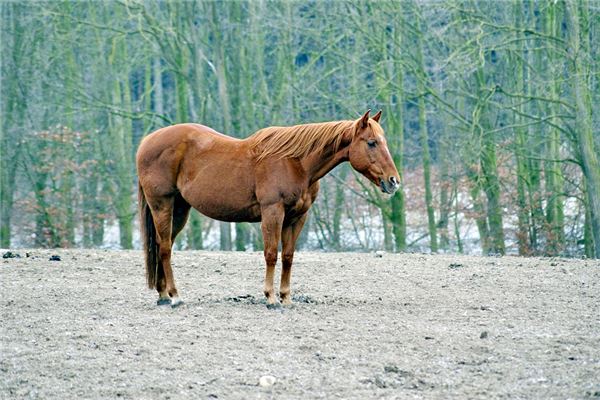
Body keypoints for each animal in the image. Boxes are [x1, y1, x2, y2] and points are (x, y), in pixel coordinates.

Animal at [136, 109, 398, 306]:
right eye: (372, 143)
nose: (393, 181)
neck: (295, 163)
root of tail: (146, 141)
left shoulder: (297, 218)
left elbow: (288, 256)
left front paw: (286, 298)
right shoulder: (273, 212)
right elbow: (271, 254)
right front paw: (271, 298)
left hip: (180, 209)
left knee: (162, 245)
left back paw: (162, 295)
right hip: (162, 204)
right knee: (165, 247)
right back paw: (175, 295)